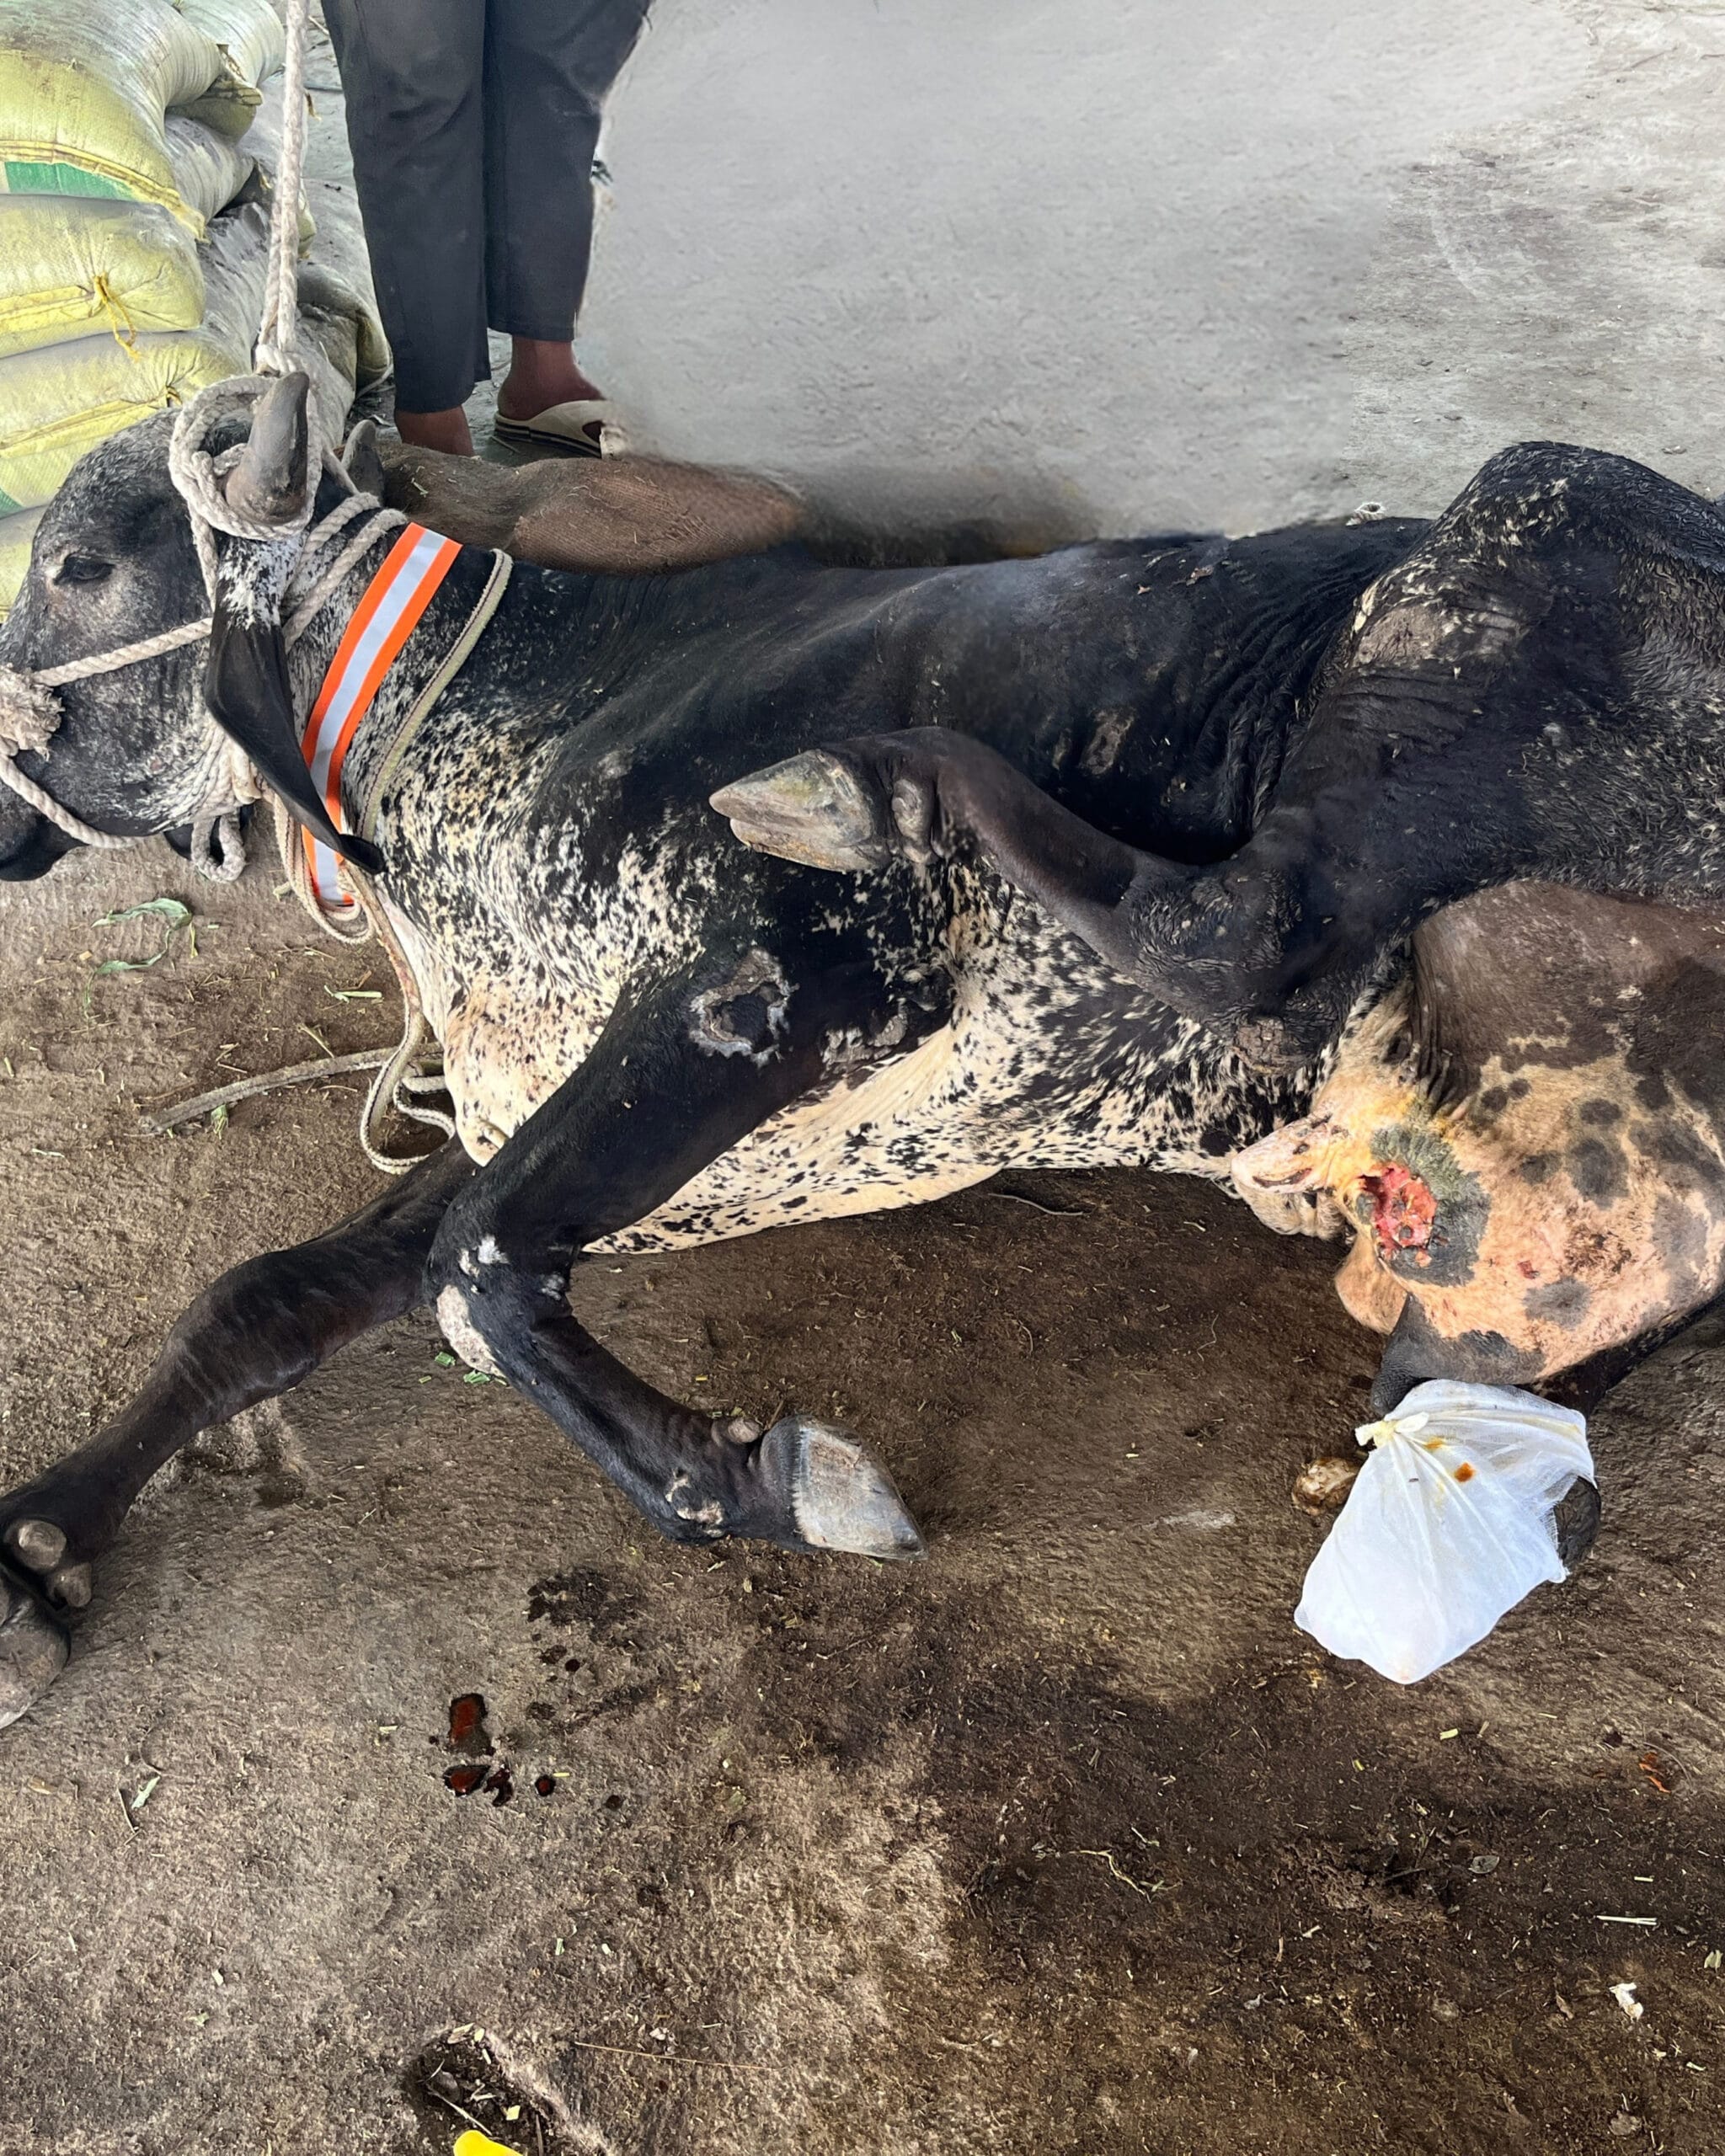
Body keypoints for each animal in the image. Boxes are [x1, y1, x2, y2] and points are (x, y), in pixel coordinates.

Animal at [0, 391, 1706, 1724]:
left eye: (77, 565)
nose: (10, 800)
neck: (465, 728)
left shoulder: (779, 987)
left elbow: (475, 1271)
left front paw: (776, 1486)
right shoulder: (544, 1112)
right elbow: (272, 1297)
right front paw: (35, 1544)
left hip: (1533, 507)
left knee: (1249, 921)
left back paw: (867, 789)